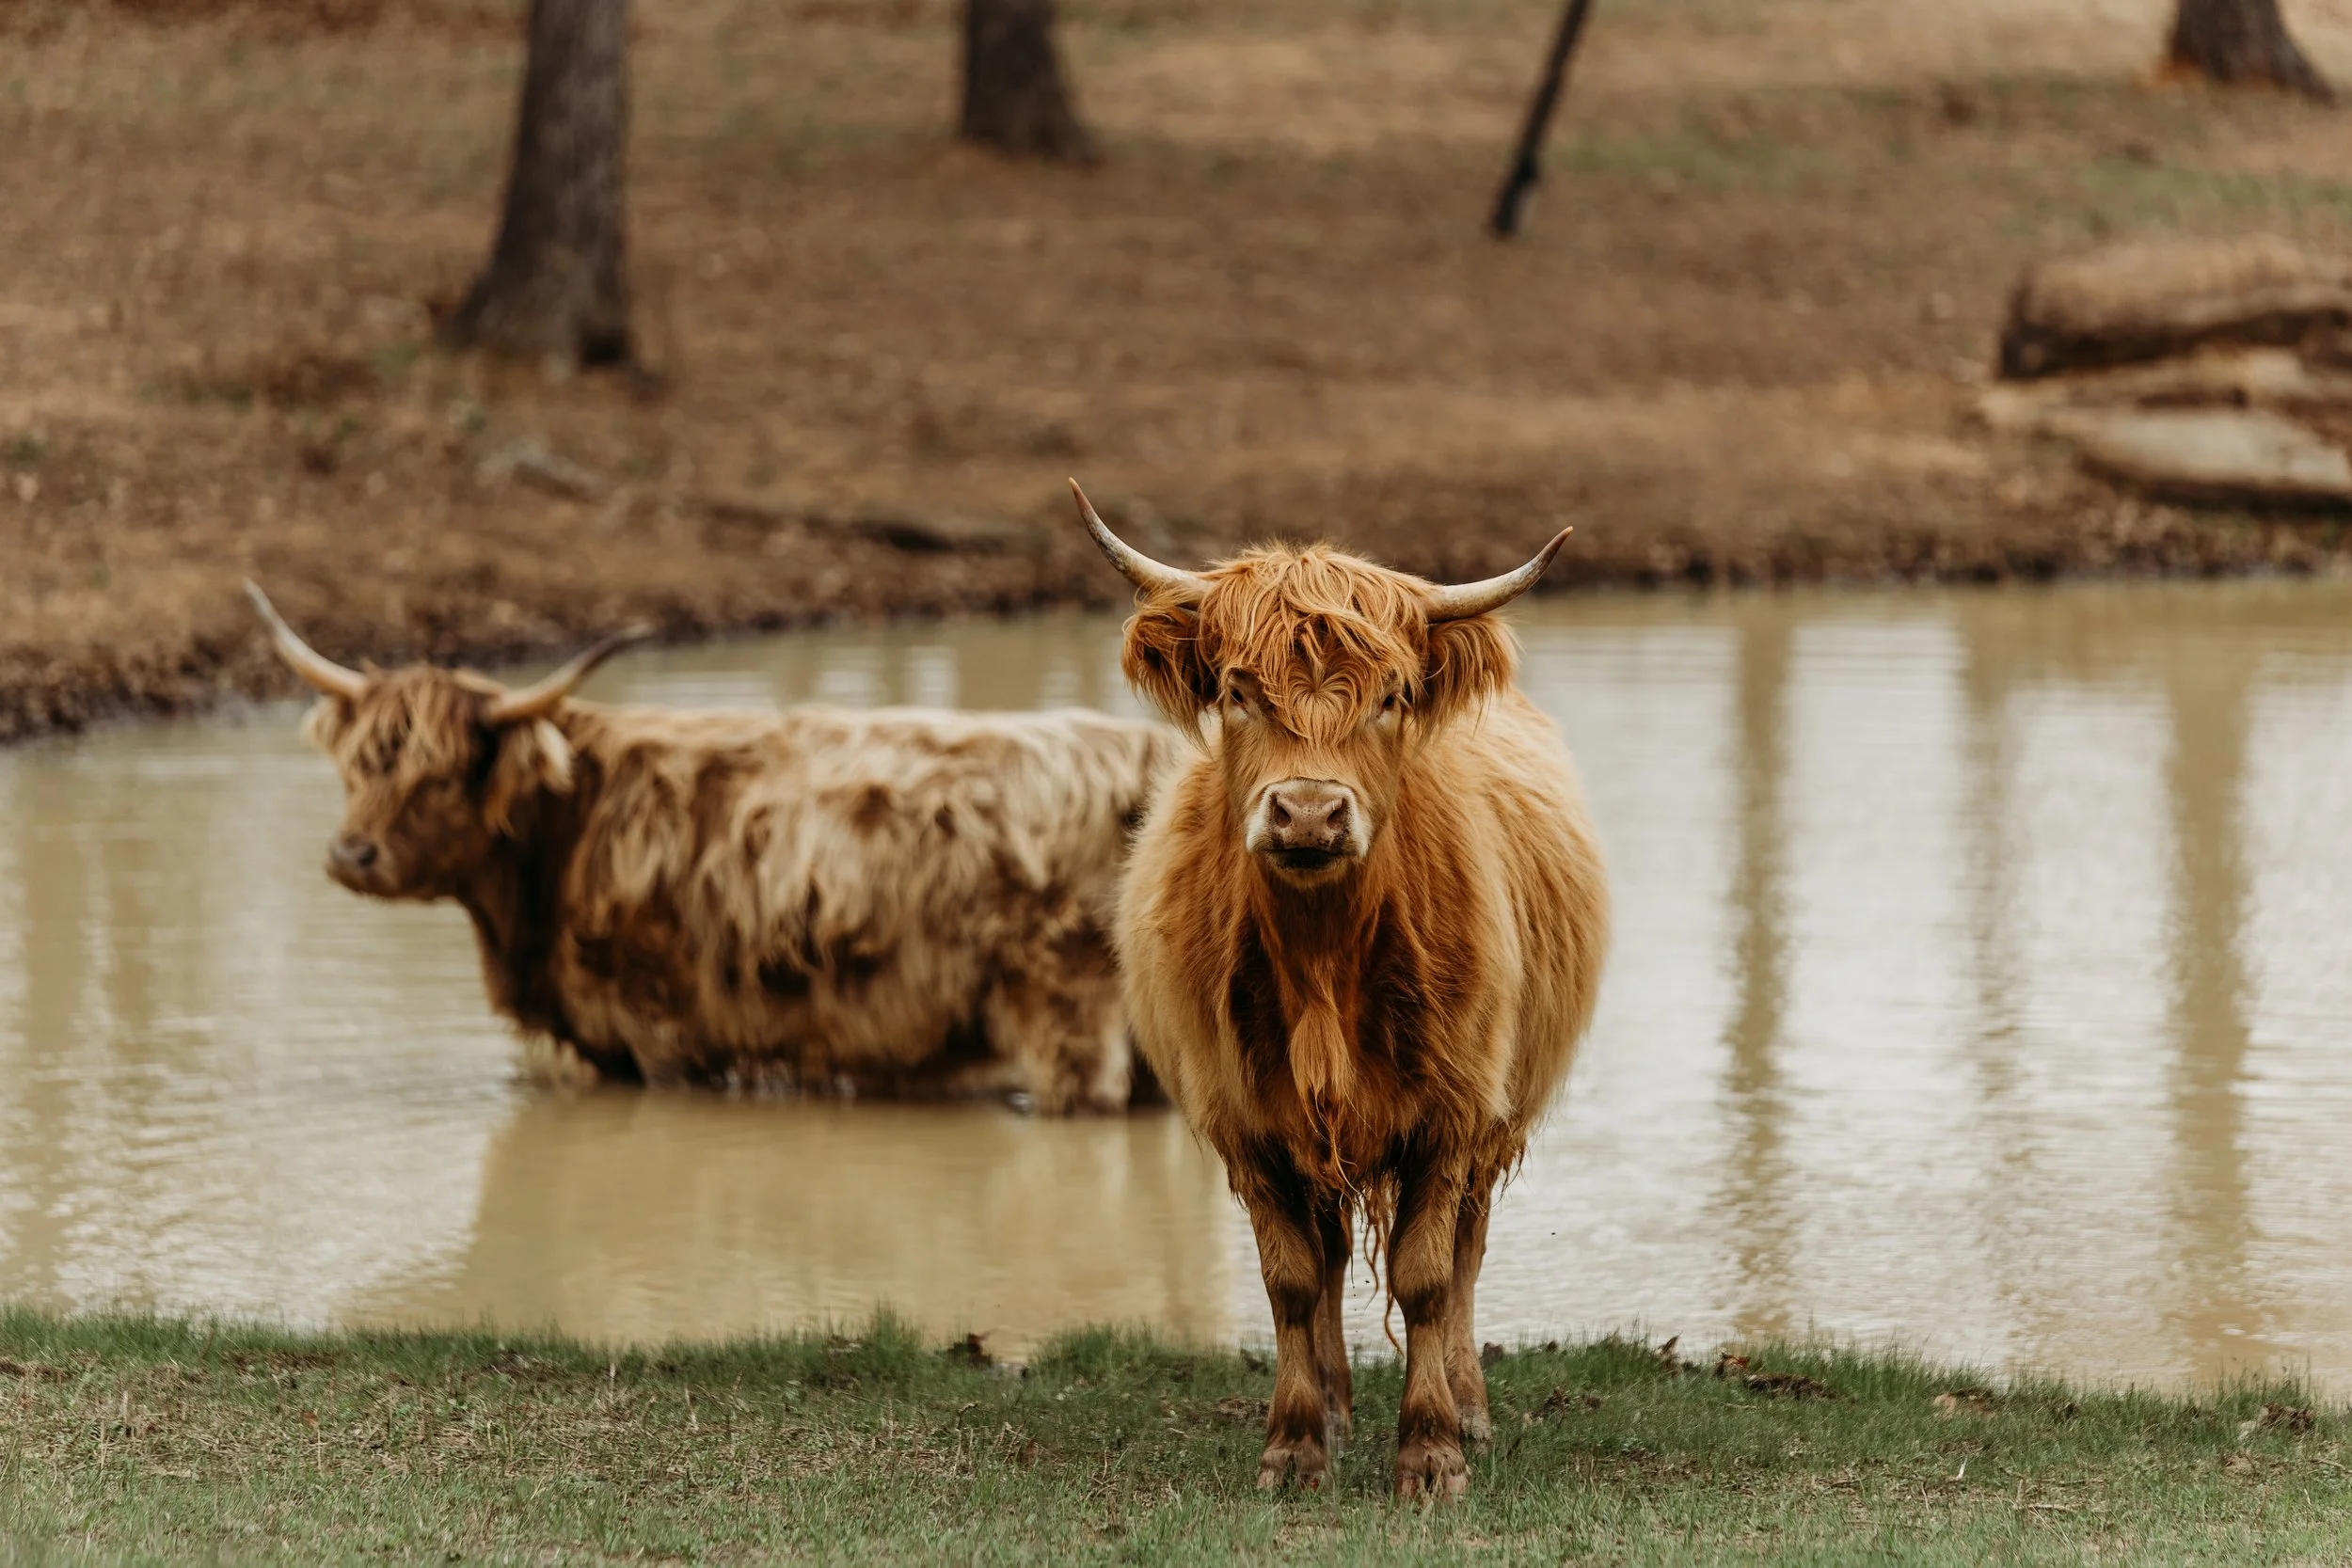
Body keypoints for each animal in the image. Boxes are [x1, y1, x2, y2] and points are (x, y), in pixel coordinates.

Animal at [246, 584, 1181, 1113]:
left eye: (439, 778)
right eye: (357, 765)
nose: (351, 854)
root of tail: (1140, 752)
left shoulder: (657, 1028)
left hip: (1065, 1009)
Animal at [1068, 482, 1610, 1496]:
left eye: (1391, 696)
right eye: (1238, 691)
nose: (1310, 812)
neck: (1323, 962)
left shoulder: (1452, 1111)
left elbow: (1427, 1276)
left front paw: (1432, 1451)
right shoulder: (1246, 1117)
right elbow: (1289, 1278)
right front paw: (1294, 1445)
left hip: (1494, 1117)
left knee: (1466, 1252)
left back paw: (1468, 1406)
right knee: (1321, 1260)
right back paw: (1335, 1404)